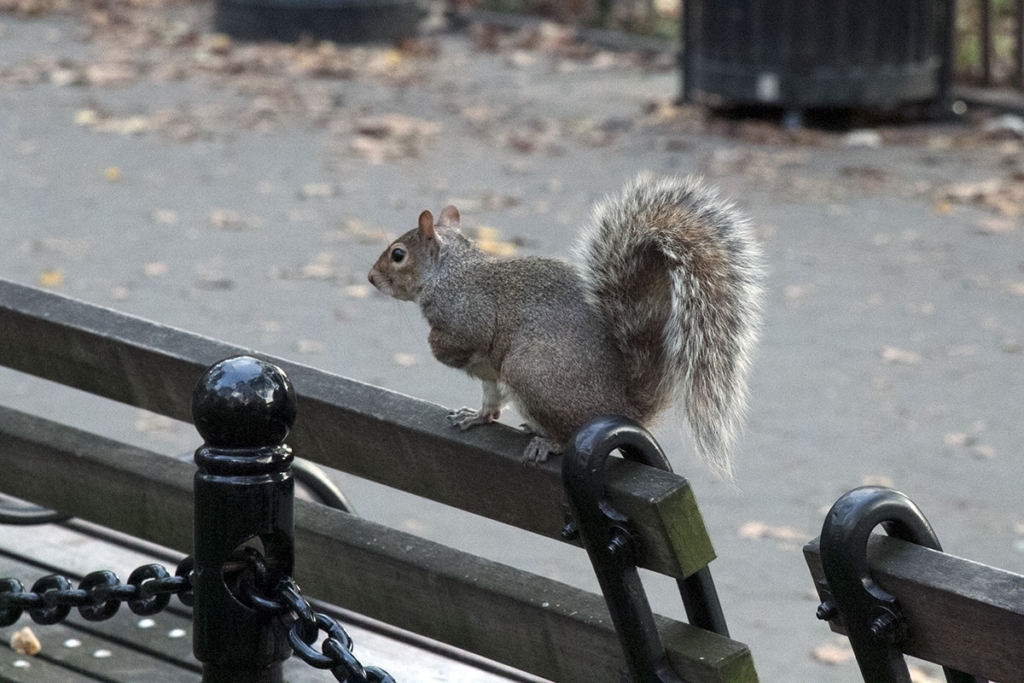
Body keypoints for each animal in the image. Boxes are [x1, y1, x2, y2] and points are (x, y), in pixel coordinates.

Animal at [366, 174, 761, 479]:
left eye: (398, 255)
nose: (370, 278)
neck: (450, 272)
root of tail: (623, 409)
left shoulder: (468, 316)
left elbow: (458, 343)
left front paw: (434, 345)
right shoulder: (490, 376)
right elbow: (491, 404)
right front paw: (475, 417)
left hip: (528, 371)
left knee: (567, 433)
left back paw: (547, 442)